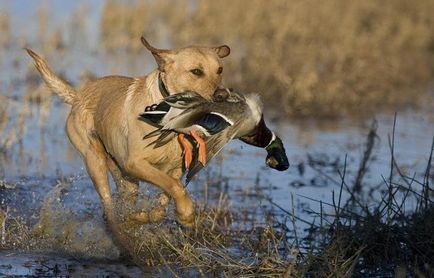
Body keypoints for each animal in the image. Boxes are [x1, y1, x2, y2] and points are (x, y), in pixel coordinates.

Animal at [26, 36, 231, 230]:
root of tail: (78, 96)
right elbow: (174, 186)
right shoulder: (134, 163)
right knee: (107, 205)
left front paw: (151, 216)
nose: (223, 95)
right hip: (95, 160)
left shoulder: (176, 168)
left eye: (220, 70)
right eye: (196, 71)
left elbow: (167, 198)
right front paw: (187, 214)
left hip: (124, 177)